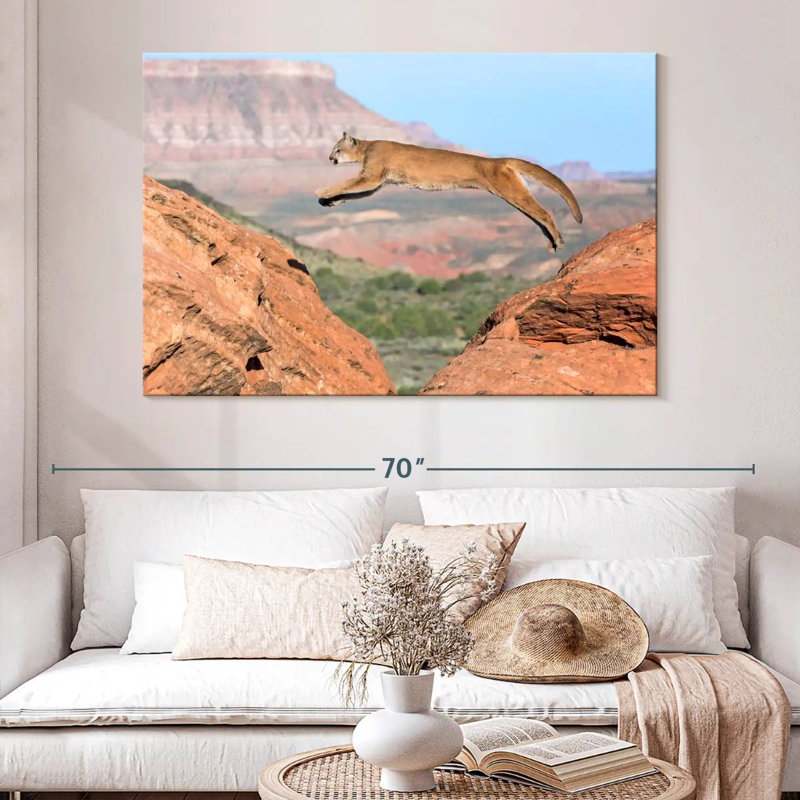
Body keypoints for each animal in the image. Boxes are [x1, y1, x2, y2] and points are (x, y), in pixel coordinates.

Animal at [315, 132, 583, 252]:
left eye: (337, 149)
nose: (329, 158)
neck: (366, 148)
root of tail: (499, 159)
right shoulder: (377, 183)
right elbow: (351, 193)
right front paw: (328, 201)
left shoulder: (371, 176)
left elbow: (346, 185)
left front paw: (321, 190)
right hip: (513, 194)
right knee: (537, 216)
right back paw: (552, 242)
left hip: (511, 191)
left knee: (544, 213)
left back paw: (558, 240)